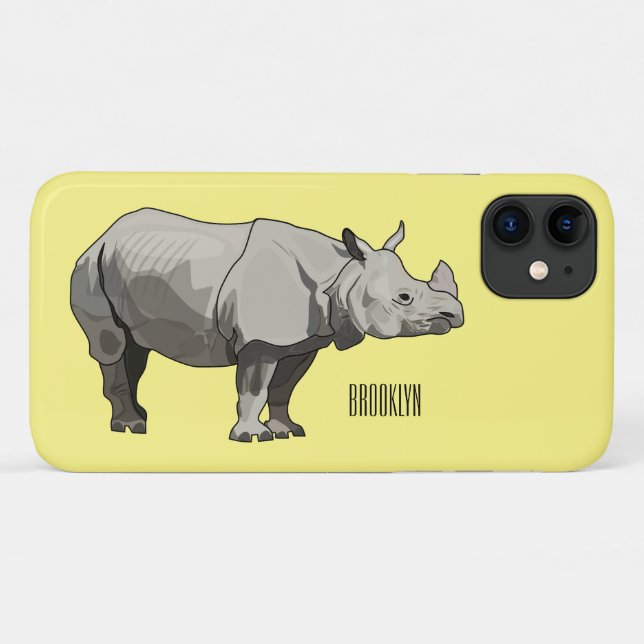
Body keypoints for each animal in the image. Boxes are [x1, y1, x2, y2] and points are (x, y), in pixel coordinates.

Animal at [70, 209, 464, 442]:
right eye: (404, 297)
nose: (455, 316)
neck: (341, 275)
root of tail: (103, 233)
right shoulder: (259, 340)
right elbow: (254, 388)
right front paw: (251, 437)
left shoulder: (305, 341)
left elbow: (283, 388)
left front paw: (287, 431)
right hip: (90, 266)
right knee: (111, 344)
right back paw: (131, 427)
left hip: (118, 266)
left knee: (136, 347)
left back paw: (140, 418)